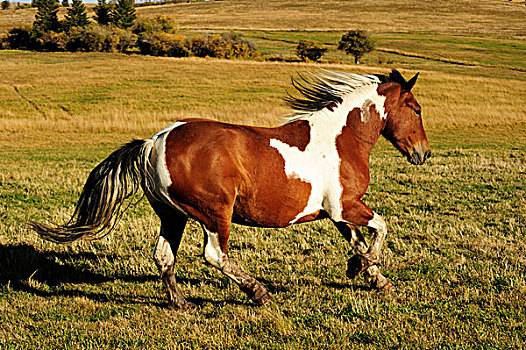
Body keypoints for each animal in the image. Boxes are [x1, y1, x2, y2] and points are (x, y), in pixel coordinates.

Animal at [29, 68, 434, 308]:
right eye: (415, 108)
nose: (423, 153)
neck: (341, 139)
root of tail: (154, 141)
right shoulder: (344, 206)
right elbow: (380, 228)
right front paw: (363, 268)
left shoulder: (336, 213)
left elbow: (361, 241)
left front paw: (373, 277)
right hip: (214, 212)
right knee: (214, 254)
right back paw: (258, 292)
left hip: (172, 215)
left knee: (163, 256)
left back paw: (180, 303)